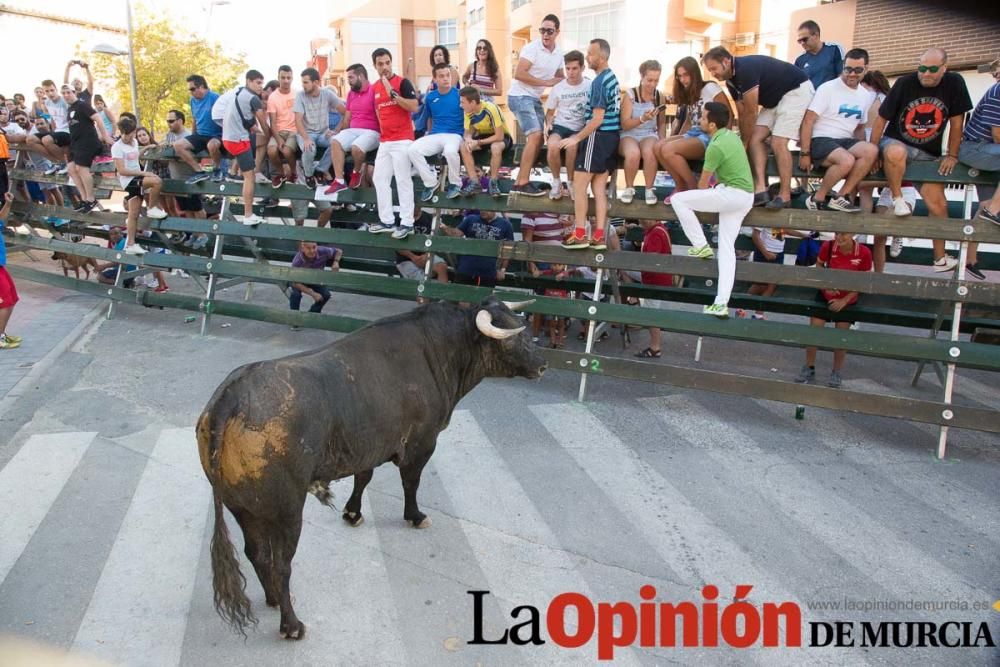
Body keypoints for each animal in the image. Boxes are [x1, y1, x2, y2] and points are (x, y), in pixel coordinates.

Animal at [195, 298, 548, 640]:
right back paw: (291, 624)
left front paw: (353, 513)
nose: (543, 363)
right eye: (512, 337)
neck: (438, 349)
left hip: (243, 506)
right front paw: (415, 516)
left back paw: (271, 598)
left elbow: (364, 476)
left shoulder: (368, 444)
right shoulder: (422, 443)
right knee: (281, 563)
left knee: (256, 552)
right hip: (287, 509)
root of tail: (230, 397)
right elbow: (411, 482)